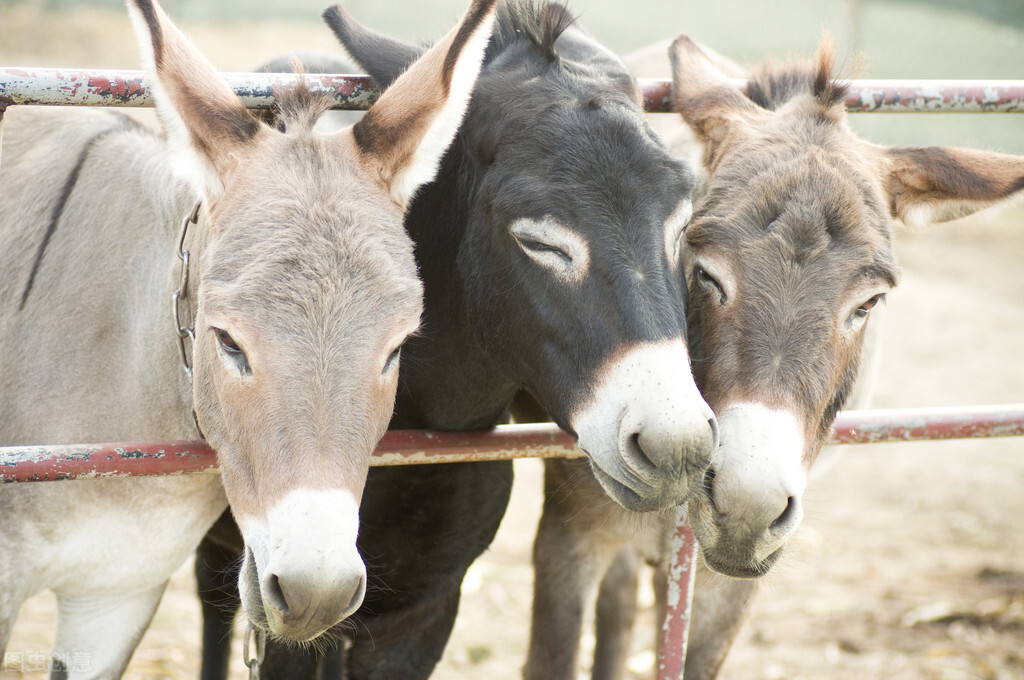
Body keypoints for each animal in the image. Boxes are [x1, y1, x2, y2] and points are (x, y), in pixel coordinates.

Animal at [194, 2, 720, 678]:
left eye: (681, 222)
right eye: (536, 240)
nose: (676, 447)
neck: (416, 433)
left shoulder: (427, 606)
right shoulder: (295, 601)